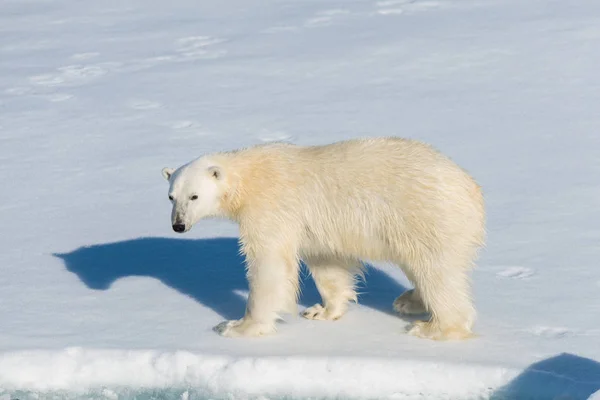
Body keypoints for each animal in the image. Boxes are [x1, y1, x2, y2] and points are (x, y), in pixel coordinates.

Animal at [162, 138, 486, 340]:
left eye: (195, 196)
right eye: (171, 197)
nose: (178, 225)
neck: (248, 176)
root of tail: (472, 189)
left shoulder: (271, 207)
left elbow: (270, 265)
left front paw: (238, 326)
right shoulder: (314, 228)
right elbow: (327, 264)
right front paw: (322, 310)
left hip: (426, 216)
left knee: (437, 272)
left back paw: (434, 328)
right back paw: (409, 300)